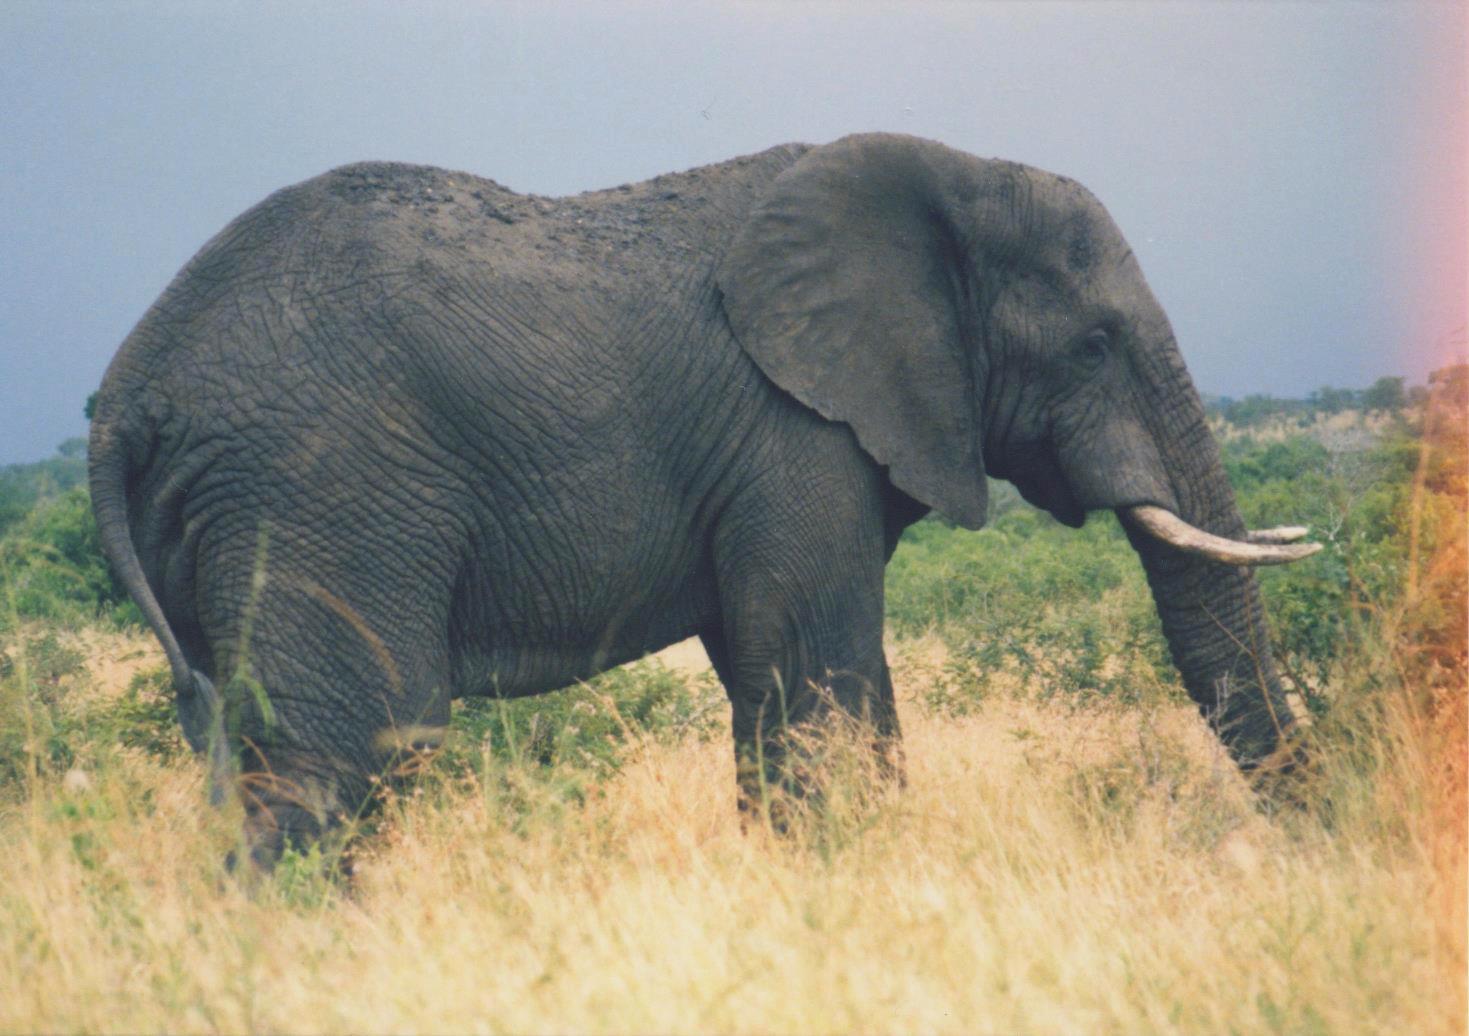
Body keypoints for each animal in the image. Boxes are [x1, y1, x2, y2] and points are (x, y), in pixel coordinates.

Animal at [89, 133, 1318, 864]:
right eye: (1095, 344)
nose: (1311, 839)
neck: (943, 170)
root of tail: (129, 388)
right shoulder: (792, 430)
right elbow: (812, 669)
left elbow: (795, 675)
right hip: (315, 491)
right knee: (348, 751)